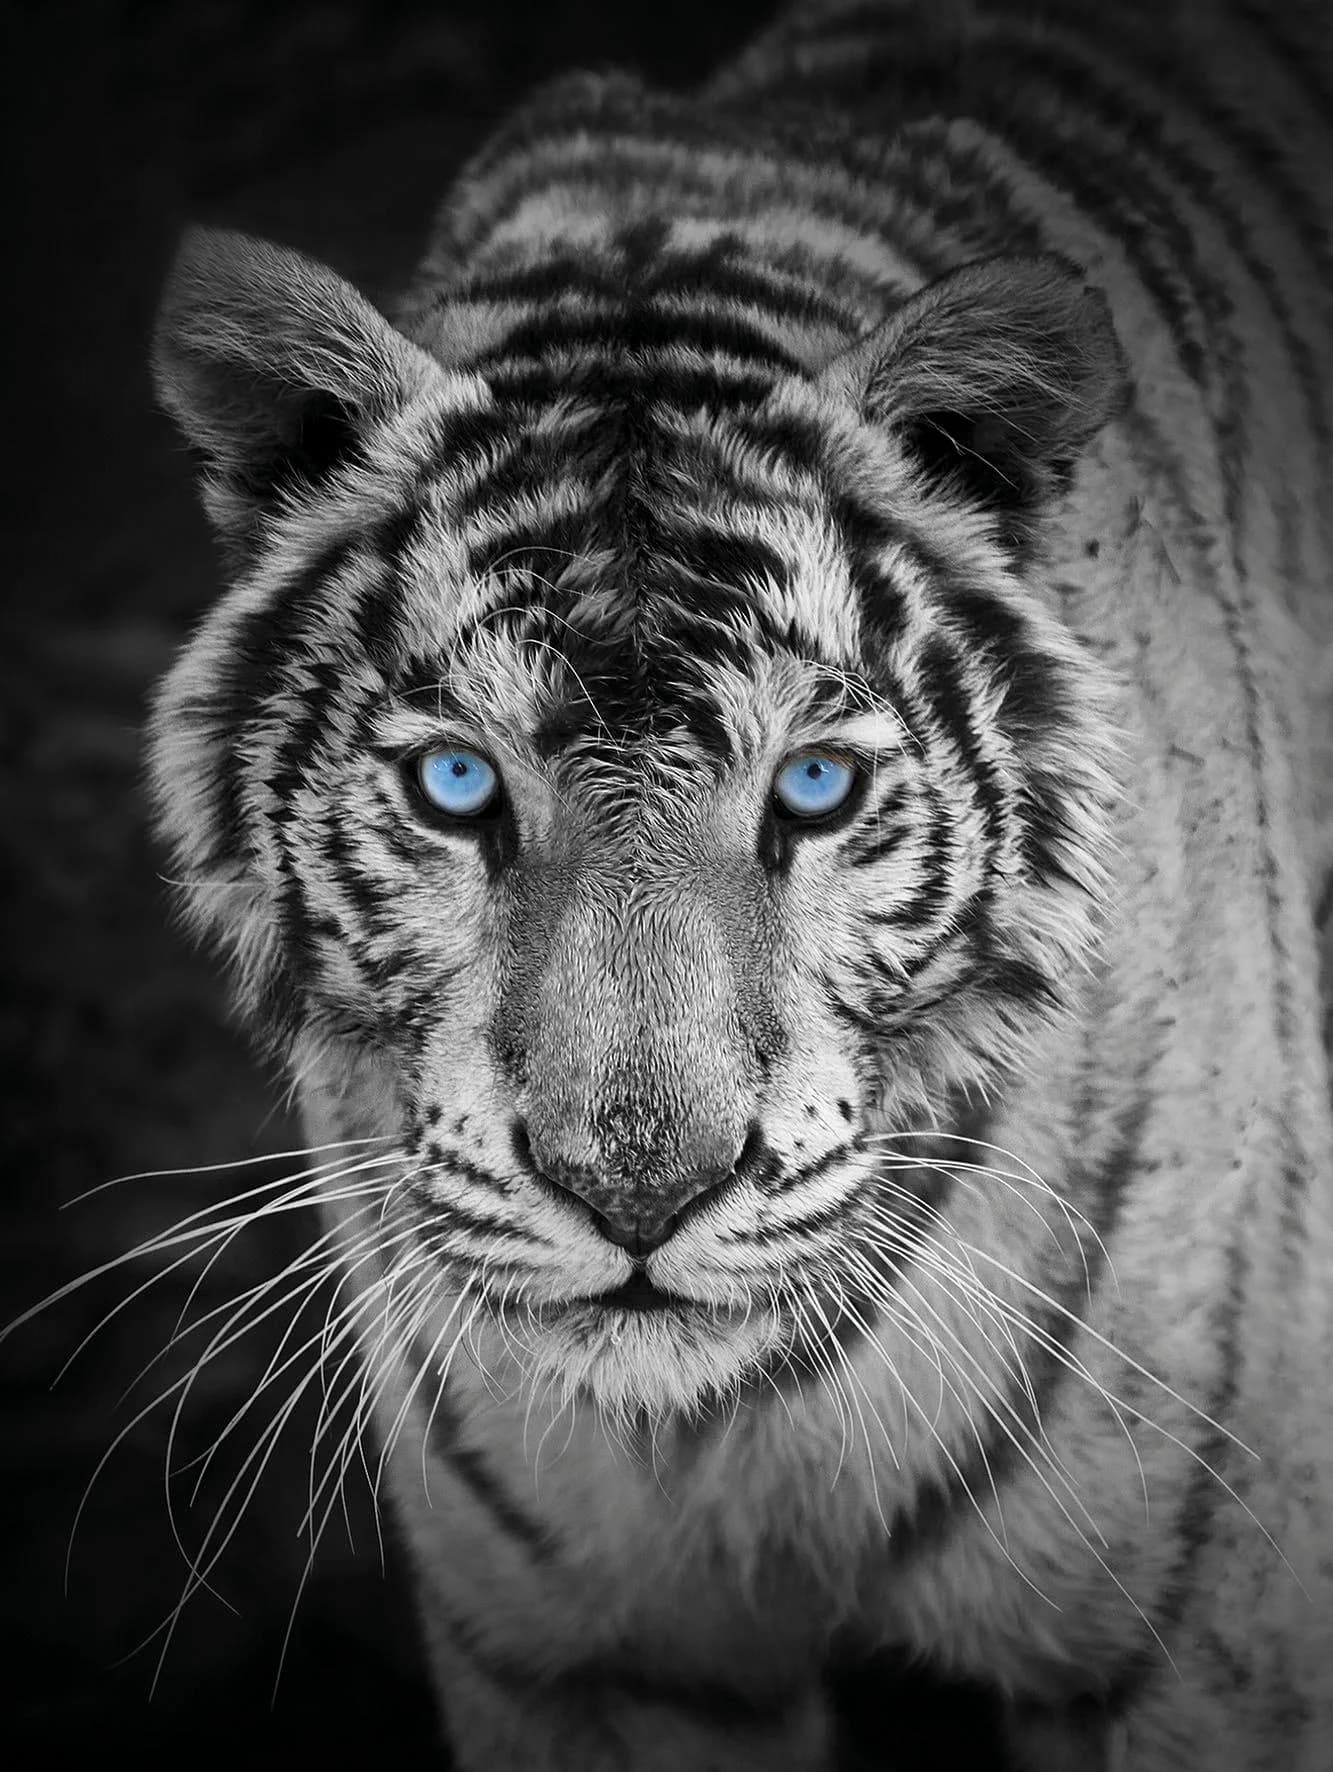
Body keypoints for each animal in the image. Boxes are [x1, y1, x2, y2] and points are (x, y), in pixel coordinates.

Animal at [144, 0, 1333, 1766]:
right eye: (455, 785)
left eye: (816, 790)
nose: (639, 1193)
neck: (729, 1434)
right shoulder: (590, 1663)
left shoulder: (1199, 1647)